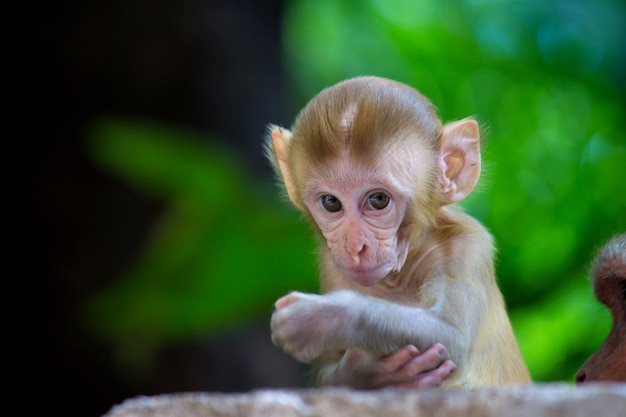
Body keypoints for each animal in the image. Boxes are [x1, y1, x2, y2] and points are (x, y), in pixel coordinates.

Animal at [264, 76, 528, 388]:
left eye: (378, 200)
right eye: (331, 202)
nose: (354, 246)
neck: (400, 273)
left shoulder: (467, 246)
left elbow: (451, 337)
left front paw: (319, 319)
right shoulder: (332, 265)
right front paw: (364, 373)